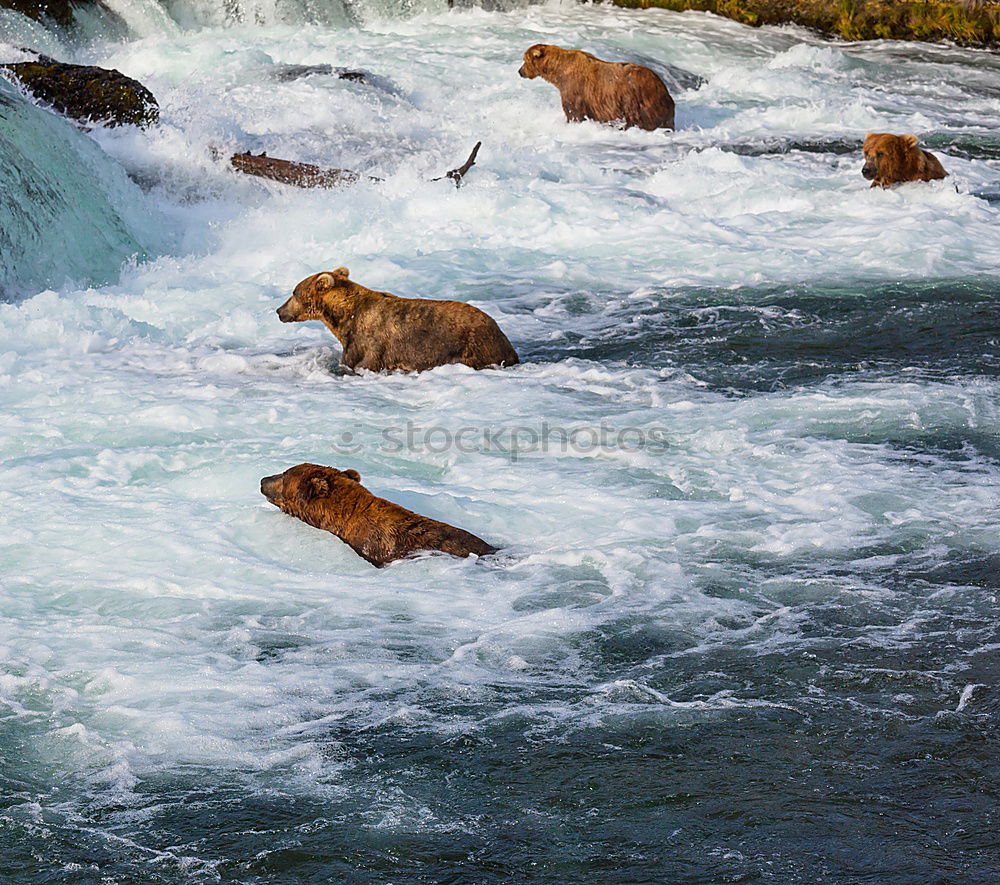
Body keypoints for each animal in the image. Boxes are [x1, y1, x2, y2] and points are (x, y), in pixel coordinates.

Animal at [276, 264, 520, 372]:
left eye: (294, 292)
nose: (279, 311)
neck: (345, 318)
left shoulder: (370, 343)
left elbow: (360, 363)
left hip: (474, 346)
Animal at [520, 42, 676, 131]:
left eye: (525, 60)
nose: (520, 71)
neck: (559, 73)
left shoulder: (575, 88)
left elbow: (573, 112)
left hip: (636, 100)